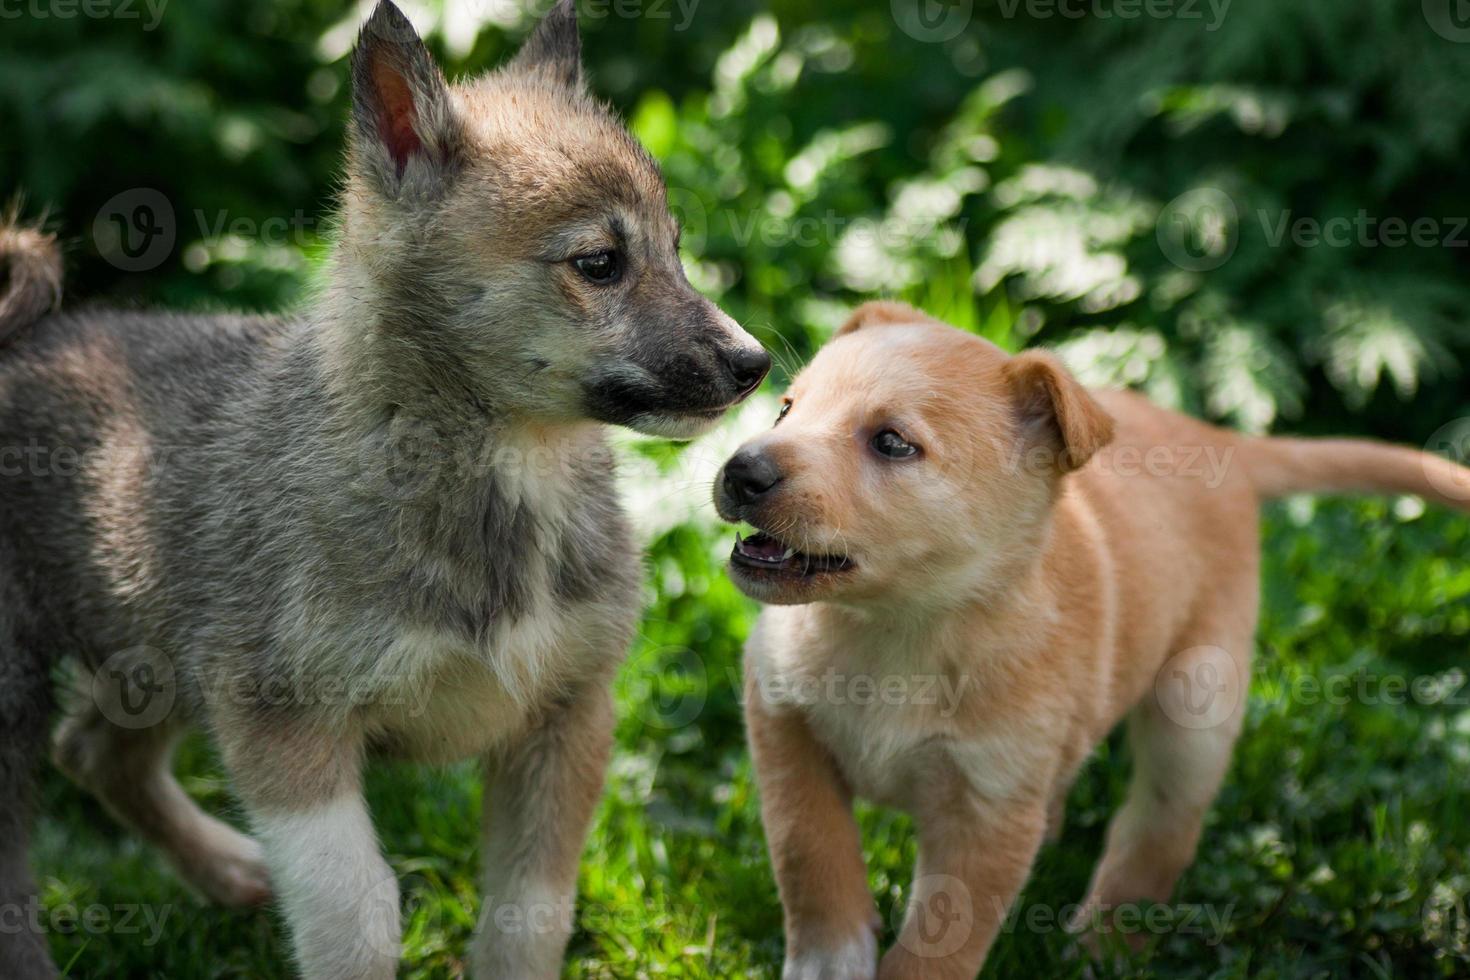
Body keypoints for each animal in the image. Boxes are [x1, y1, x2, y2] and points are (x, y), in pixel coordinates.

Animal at [2, 3, 770, 975]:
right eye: (599, 263)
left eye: (675, 249)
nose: (755, 364)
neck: (500, 473)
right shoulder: (285, 726)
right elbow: (357, 914)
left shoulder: (568, 716)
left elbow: (528, 914)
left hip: (150, 653)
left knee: (97, 755)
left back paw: (228, 871)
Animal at [711, 302, 1470, 980]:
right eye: (786, 409)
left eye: (892, 442)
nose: (741, 471)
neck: (900, 629)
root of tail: (1224, 441)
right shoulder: (781, 720)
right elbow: (812, 856)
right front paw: (828, 963)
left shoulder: (988, 807)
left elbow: (938, 943)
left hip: (1195, 714)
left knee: (1155, 837)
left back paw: (1104, 947)